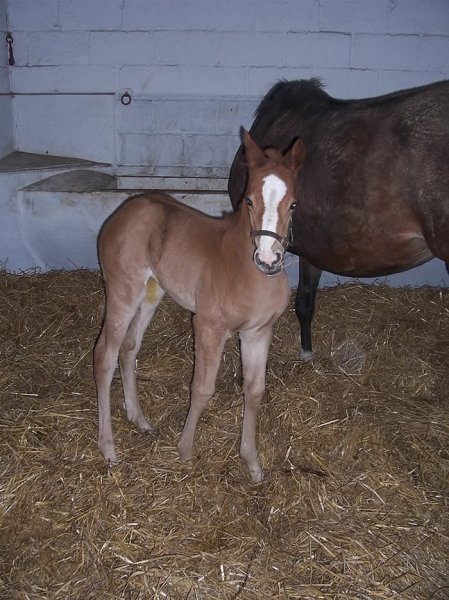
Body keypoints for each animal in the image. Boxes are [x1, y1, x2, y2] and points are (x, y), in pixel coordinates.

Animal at [94, 131, 304, 482]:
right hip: (122, 291)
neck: (246, 270)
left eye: (293, 203)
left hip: (152, 293)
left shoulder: (258, 332)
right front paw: (185, 450)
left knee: (129, 347)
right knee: (104, 356)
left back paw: (140, 420)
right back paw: (108, 449)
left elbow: (255, 390)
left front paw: (252, 464)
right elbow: (203, 388)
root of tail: (125, 210)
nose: (268, 259)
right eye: (249, 200)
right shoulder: (208, 327)